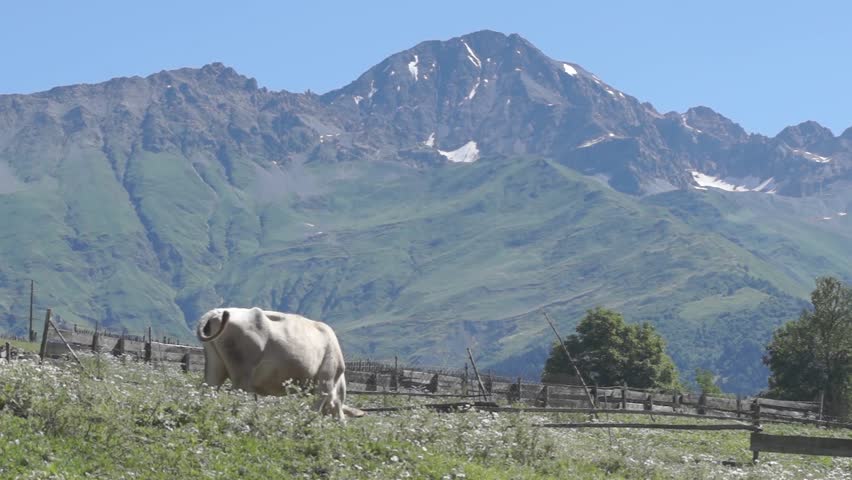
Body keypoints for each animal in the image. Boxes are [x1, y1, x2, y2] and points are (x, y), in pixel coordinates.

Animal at [196, 307, 364, 419]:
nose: (341, 424)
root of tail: (217, 312)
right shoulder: (324, 383)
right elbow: (314, 410)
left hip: (214, 367)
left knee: (207, 391)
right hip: (242, 374)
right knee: (236, 397)